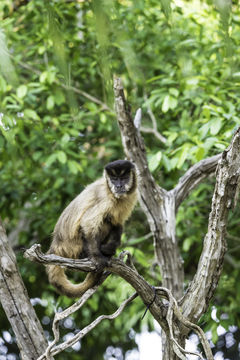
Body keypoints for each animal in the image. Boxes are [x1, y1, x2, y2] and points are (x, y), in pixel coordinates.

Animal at [47, 160, 137, 298]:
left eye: (123, 178)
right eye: (114, 179)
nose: (118, 186)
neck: (110, 191)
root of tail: (56, 246)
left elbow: (117, 223)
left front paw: (109, 249)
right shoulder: (106, 199)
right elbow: (88, 222)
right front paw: (97, 257)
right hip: (74, 246)